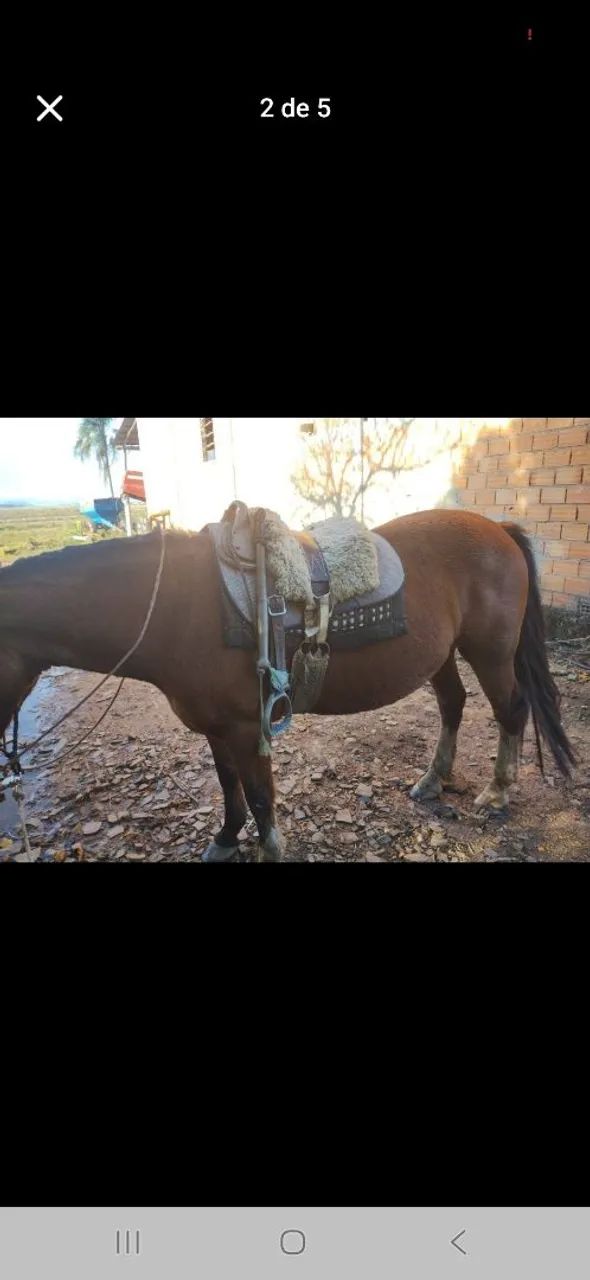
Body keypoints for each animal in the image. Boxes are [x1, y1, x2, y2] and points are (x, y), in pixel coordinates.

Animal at [0, 508, 575, 862]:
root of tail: (498, 528)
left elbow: (259, 797)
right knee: (454, 704)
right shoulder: (216, 728)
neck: (179, 607)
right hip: (441, 654)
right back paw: (433, 780)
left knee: (510, 711)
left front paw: (268, 848)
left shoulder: (245, 726)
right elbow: (229, 788)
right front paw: (225, 839)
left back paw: (497, 792)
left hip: (491, 652)